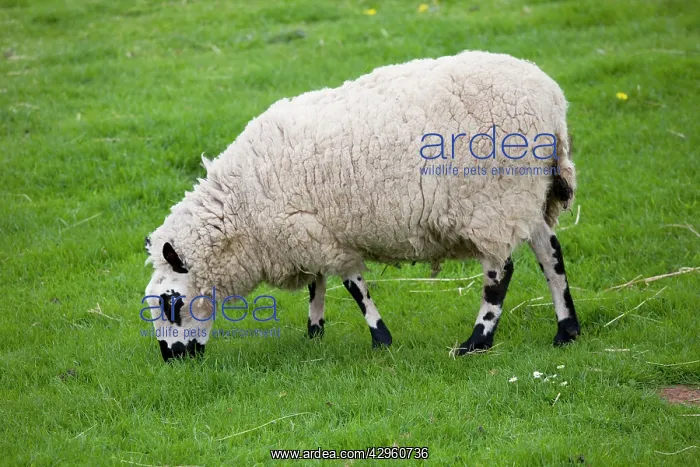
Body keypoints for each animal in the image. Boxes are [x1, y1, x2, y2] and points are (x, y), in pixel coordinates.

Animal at [142, 50, 580, 362]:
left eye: (170, 304)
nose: (171, 359)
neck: (240, 209)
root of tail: (552, 102)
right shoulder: (307, 230)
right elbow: (317, 284)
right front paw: (314, 332)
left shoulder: (323, 237)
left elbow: (353, 286)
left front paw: (380, 338)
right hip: (526, 196)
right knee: (551, 255)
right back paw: (566, 330)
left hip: (493, 201)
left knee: (499, 273)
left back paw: (477, 342)